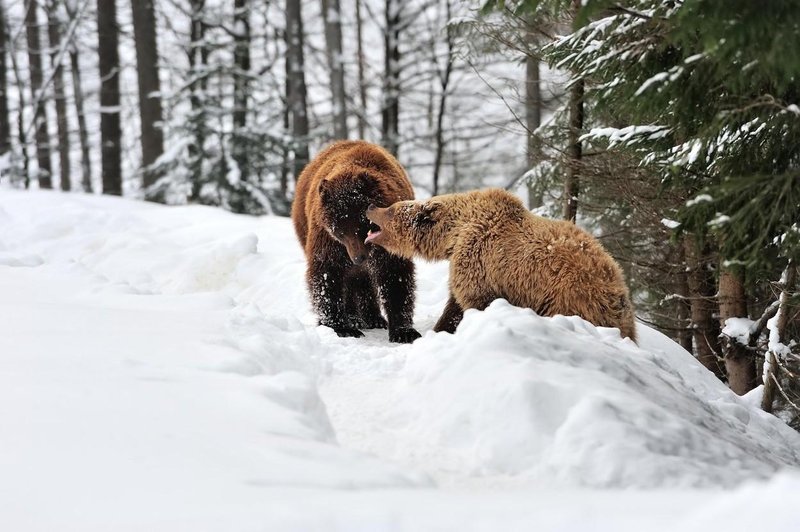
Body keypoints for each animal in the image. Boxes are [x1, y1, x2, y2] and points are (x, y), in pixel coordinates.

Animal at [292, 139, 418, 342]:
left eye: (363, 226)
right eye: (340, 231)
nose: (358, 258)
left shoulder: (389, 241)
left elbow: (395, 274)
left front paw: (403, 331)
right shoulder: (327, 238)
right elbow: (326, 272)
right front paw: (340, 326)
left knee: (364, 281)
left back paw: (374, 318)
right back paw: (353, 318)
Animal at [364, 188, 636, 340]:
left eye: (391, 208)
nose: (370, 205)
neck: (454, 234)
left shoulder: (478, 258)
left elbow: (472, 301)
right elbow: (455, 304)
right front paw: (441, 328)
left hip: (568, 296)